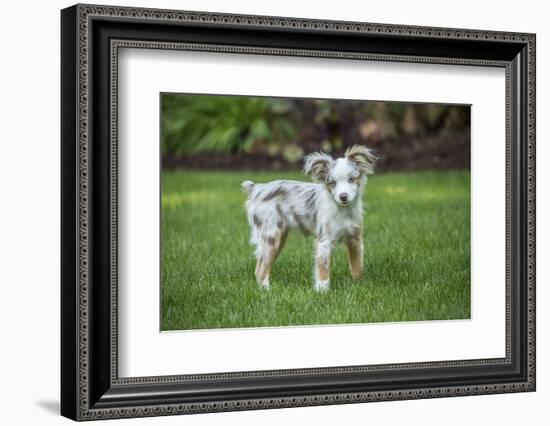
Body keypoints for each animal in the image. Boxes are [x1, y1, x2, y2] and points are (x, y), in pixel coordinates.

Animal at [243, 145, 378, 292]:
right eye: (332, 183)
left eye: (351, 179)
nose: (343, 197)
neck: (343, 211)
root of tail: (257, 189)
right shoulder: (324, 242)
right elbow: (323, 269)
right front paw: (322, 290)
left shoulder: (355, 239)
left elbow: (357, 265)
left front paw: (359, 284)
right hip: (271, 237)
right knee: (261, 270)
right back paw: (266, 289)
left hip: (278, 239)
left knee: (259, 267)